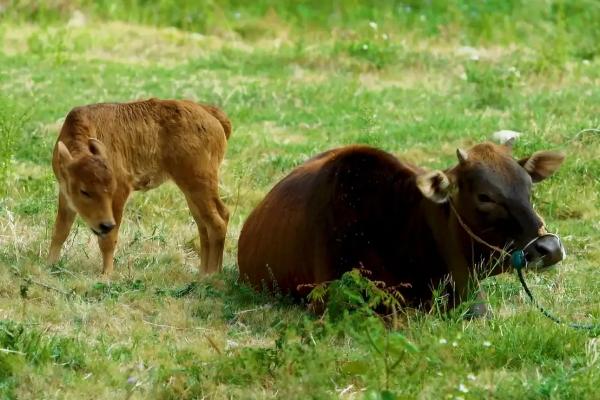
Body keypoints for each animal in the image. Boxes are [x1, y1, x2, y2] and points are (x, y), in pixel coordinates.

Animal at [48, 98, 231, 276]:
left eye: (111, 189)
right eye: (84, 191)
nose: (105, 225)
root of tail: (210, 114)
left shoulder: (120, 193)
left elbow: (109, 239)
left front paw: (106, 274)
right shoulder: (65, 194)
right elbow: (60, 231)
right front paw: (49, 265)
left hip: (199, 184)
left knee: (217, 222)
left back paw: (211, 275)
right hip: (190, 190)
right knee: (205, 224)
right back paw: (202, 274)